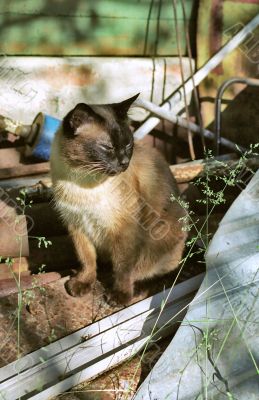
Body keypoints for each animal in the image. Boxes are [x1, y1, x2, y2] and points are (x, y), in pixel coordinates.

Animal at [50, 94, 188, 304]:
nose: (124, 163)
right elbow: (87, 259)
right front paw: (83, 284)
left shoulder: (122, 230)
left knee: (160, 272)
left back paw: (137, 289)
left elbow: (123, 268)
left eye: (128, 145)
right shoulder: (77, 225)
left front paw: (119, 296)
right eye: (107, 147)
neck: (83, 181)